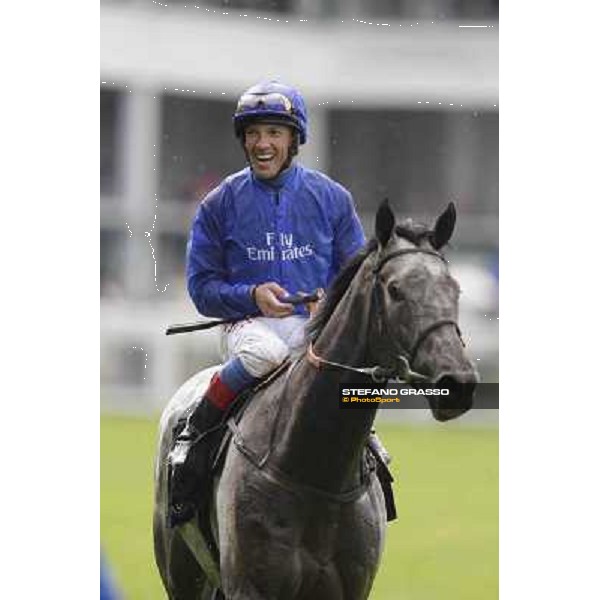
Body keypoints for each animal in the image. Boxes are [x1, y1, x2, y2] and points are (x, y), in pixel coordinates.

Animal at [154, 202, 478, 600]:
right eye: (395, 290)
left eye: (454, 289)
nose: (457, 382)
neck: (316, 472)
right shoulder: (250, 586)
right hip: (182, 574)